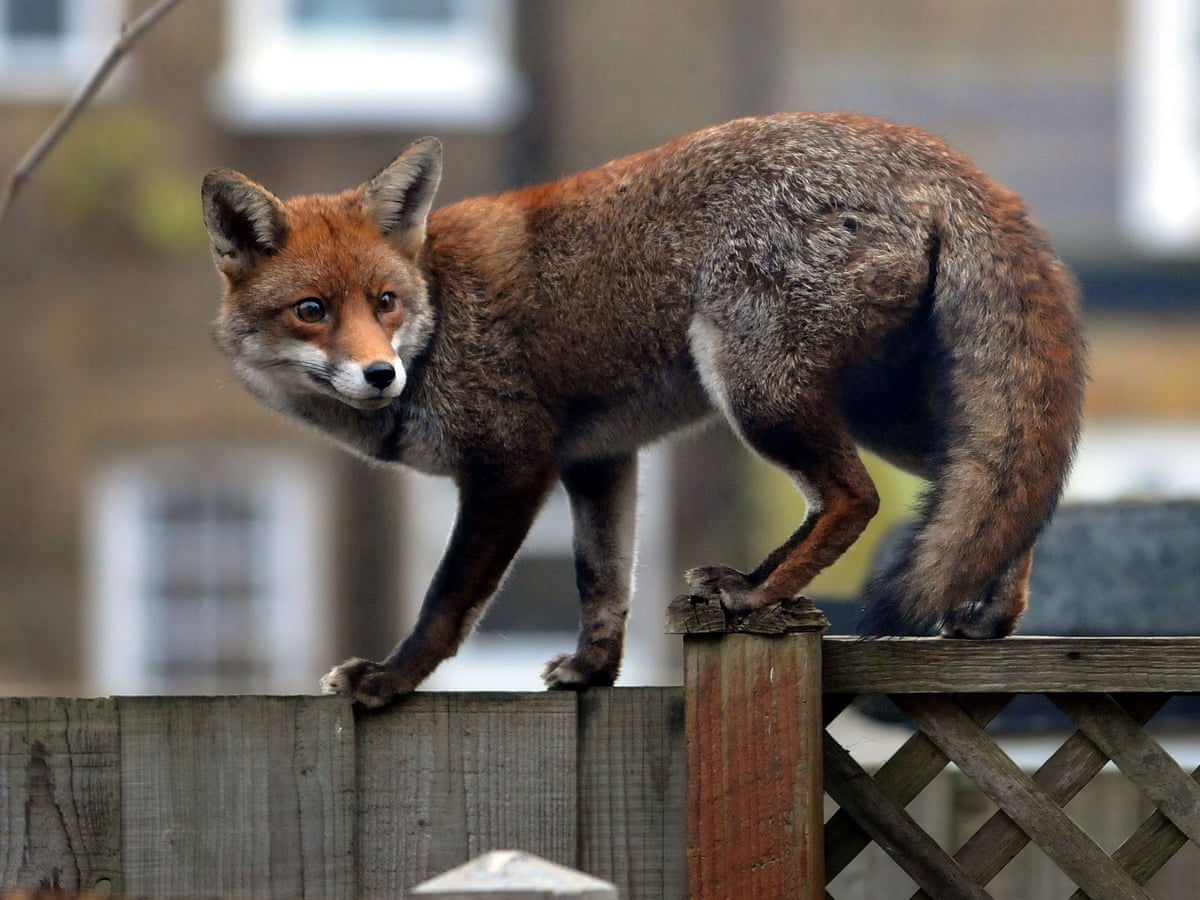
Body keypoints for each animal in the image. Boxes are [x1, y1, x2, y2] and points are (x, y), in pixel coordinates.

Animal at [201, 112, 1086, 707]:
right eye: (312, 310)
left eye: (384, 302)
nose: (380, 374)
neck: (442, 317)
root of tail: (924, 148)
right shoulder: (597, 459)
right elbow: (602, 584)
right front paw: (593, 673)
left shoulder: (511, 464)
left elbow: (448, 600)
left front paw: (391, 680)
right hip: (871, 410)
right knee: (1005, 488)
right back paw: (989, 617)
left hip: (759, 390)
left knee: (855, 498)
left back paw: (758, 594)